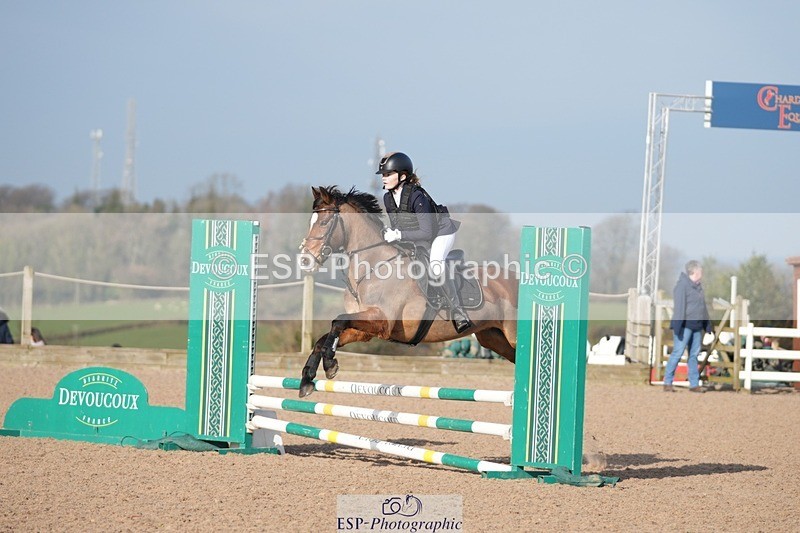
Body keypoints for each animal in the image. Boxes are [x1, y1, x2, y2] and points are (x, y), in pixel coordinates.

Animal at [295, 186, 519, 397]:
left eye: (324, 223)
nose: (305, 260)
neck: (373, 267)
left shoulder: (382, 320)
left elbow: (338, 321)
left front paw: (329, 364)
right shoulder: (364, 329)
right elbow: (323, 339)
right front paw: (308, 379)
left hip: (512, 335)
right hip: (493, 337)